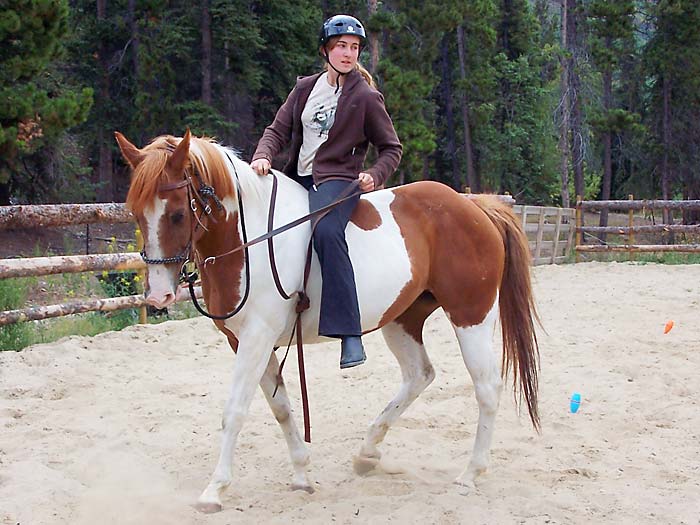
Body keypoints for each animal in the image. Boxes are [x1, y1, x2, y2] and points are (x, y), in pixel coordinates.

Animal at [115, 129, 540, 513]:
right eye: (136, 213)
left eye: (176, 214)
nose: (158, 296)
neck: (252, 238)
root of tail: (475, 207)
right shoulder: (248, 341)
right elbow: (282, 408)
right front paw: (302, 475)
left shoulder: (256, 338)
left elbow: (235, 410)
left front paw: (214, 489)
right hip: (401, 319)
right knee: (420, 375)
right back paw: (367, 453)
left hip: (470, 316)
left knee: (486, 388)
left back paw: (470, 473)